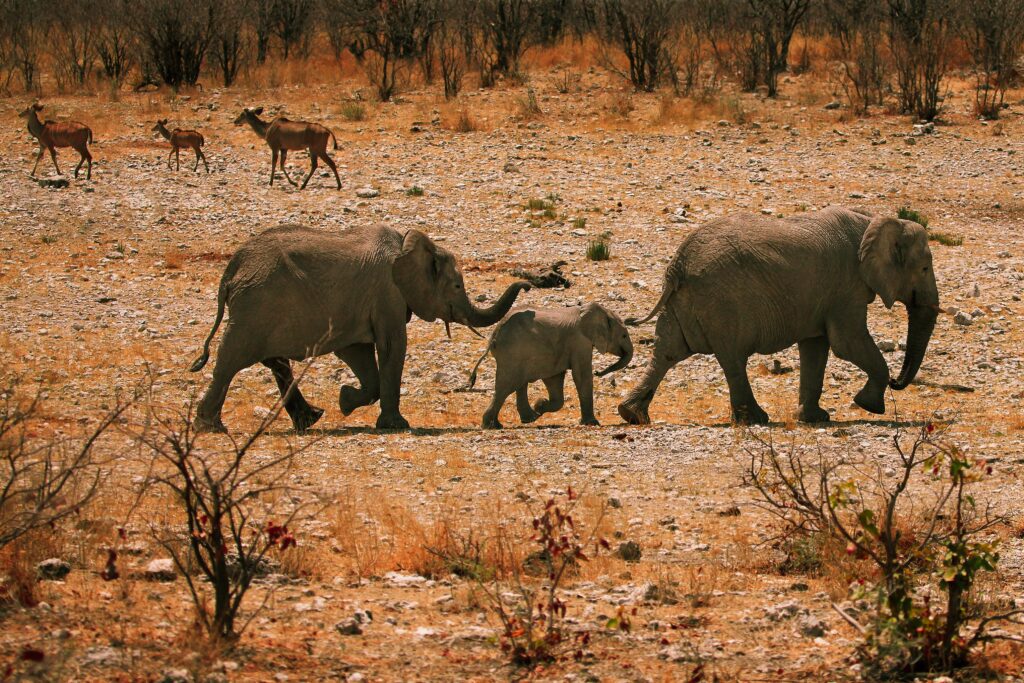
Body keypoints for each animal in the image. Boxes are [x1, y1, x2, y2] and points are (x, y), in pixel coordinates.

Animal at [189, 223, 531, 432]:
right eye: (457, 285)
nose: (528, 284)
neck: (408, 243)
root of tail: (232, 268)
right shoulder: (388, 294)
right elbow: (392, 347)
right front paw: (396, 425)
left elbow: (359, 354)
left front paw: (345, 401)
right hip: (256, 305)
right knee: (232, 358)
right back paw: (210, 427)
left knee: (274, 361)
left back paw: (310, 419)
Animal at [466, 303, 634, 428]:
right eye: (624, 335)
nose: (599, 372)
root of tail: (494, 336)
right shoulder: (580, 342)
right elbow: (581, 375)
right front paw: (592, 423)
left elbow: (554, 379)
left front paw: (540, 406)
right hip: (512, 353)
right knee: (506, 386)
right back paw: (492, 426)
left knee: (517, 384)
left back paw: (525, 419)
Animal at [617, 206, 939, 425]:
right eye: (924, 268)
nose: (898, 382)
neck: (874, 220)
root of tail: (678, 263)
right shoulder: (845, 288)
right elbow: (846, 343)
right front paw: (869, 406)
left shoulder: (824, 296)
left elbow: (816, 347)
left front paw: (815, 418)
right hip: (722, 302)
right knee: (733, 359)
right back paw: (756, 419)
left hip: (685, 301)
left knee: (668, 352)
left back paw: (631, 415)